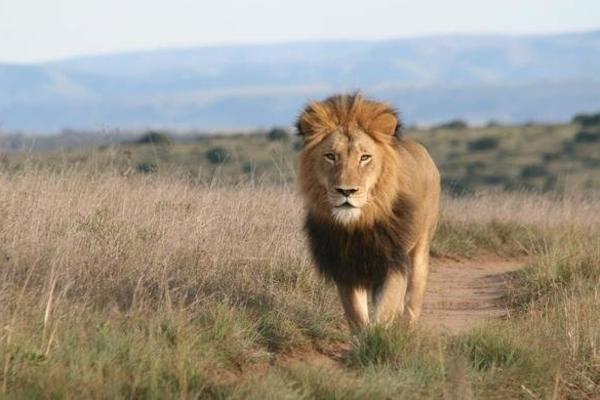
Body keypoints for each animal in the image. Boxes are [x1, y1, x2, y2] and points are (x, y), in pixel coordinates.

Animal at [296, 94, 440, 332]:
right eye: (330, 156)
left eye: (364, 157)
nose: (346, 191)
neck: (359, 225)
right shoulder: (346, 267)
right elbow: (356, 315)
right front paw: (364, 336)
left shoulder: (393, 261)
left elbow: (385, 309)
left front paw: (379, 336)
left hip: (420, 249)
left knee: (412, 301)